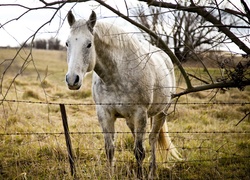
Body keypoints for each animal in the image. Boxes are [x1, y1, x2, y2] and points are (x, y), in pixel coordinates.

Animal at [65, 10, 181, 179]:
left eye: (89, 44)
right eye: (67, 43)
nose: (72, 79)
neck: (116, 75)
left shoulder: (140, 114)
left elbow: (139, 152)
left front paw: (140, 175)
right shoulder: (105, 114)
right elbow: (110, 150)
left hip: (161, 113)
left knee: (152, 139)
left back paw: (152, 172)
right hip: (131, 120)